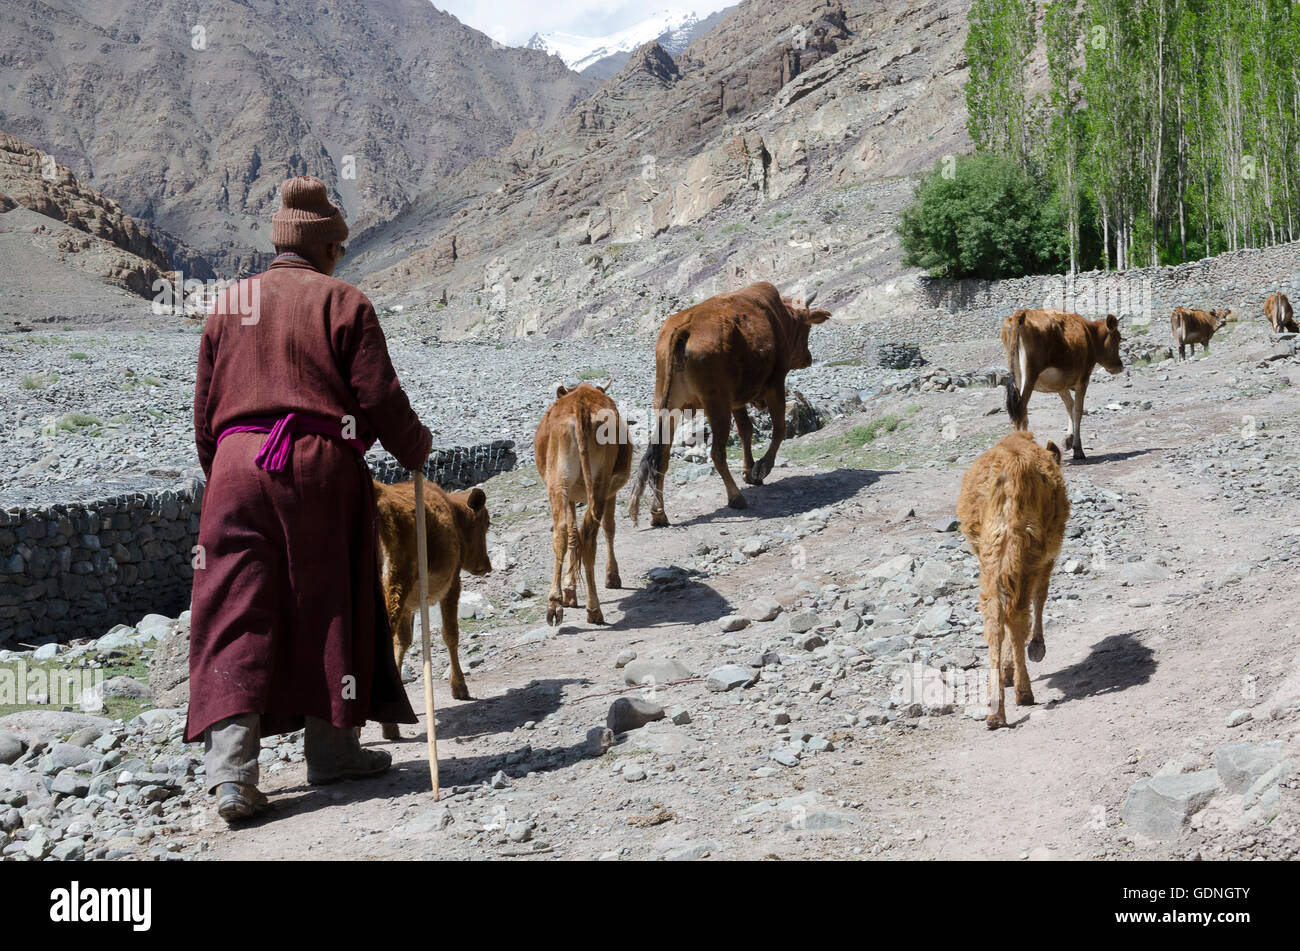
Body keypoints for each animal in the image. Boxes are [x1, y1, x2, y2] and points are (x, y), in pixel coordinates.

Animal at [374, 478, 488, 737]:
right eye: (487, 524)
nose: (486, 566)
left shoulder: (409, 605)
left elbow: (402, 643)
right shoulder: (453, 582)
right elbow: (450, 633)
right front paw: (459, 687)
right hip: (394, 583)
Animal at [530, 381, 626, 628]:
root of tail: (580, 402)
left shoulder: (572, 496)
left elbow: (573, 536)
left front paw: (569, 590)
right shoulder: (611, 489)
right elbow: (609, 528)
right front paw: (612, 576)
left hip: (559, 483)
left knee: (562, 533)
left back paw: (555, 604)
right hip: (600, 483)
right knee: (590, 536)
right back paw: (594, 609)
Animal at [629, 281, 832, 524]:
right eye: (806, 328)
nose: (808, 358)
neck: (780, 316)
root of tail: (685, 325)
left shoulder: (736, 401)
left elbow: (746, 430)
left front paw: (749, 471)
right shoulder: (775, 384)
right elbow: (779, 429)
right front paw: (762, 468)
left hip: (667, 405)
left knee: (661, 456)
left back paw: (658, 513)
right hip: (716, 405)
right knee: (717, 453)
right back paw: (735, 497)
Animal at [956, 426, 1066, 732]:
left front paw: (1006, 670)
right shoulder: (1049, 556)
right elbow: (1041, 596)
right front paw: (1037, 648)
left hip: (992, 553)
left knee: (995, 617)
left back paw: (995, 710)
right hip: (1027, 551)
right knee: (1017, 613)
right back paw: (1023, 692)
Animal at [998, 307, 1123, 459]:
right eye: (1118, 338)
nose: (1120, 365)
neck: (1089, 334)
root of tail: (1022, 313)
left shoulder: (1060, 384)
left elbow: (1070, 405)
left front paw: (1068, 439)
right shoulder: (1083, 380)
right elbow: (1078, 410)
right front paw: (1078, 449)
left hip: (1019, 376)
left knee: (1021, 412)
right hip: (1030, 375)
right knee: (1020, 409)